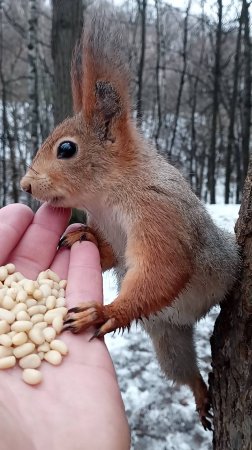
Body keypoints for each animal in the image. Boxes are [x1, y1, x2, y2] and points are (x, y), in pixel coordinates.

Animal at [20, 9, 239, 428]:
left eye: (66, 149)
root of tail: (194, 315)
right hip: (167, 335)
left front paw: (102, 312)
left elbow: (164, 267)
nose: (24, 185)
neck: (107, 197)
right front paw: (84, 237)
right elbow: (112, 255)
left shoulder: (159, 213)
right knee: (182, 369)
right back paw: (200, 394)